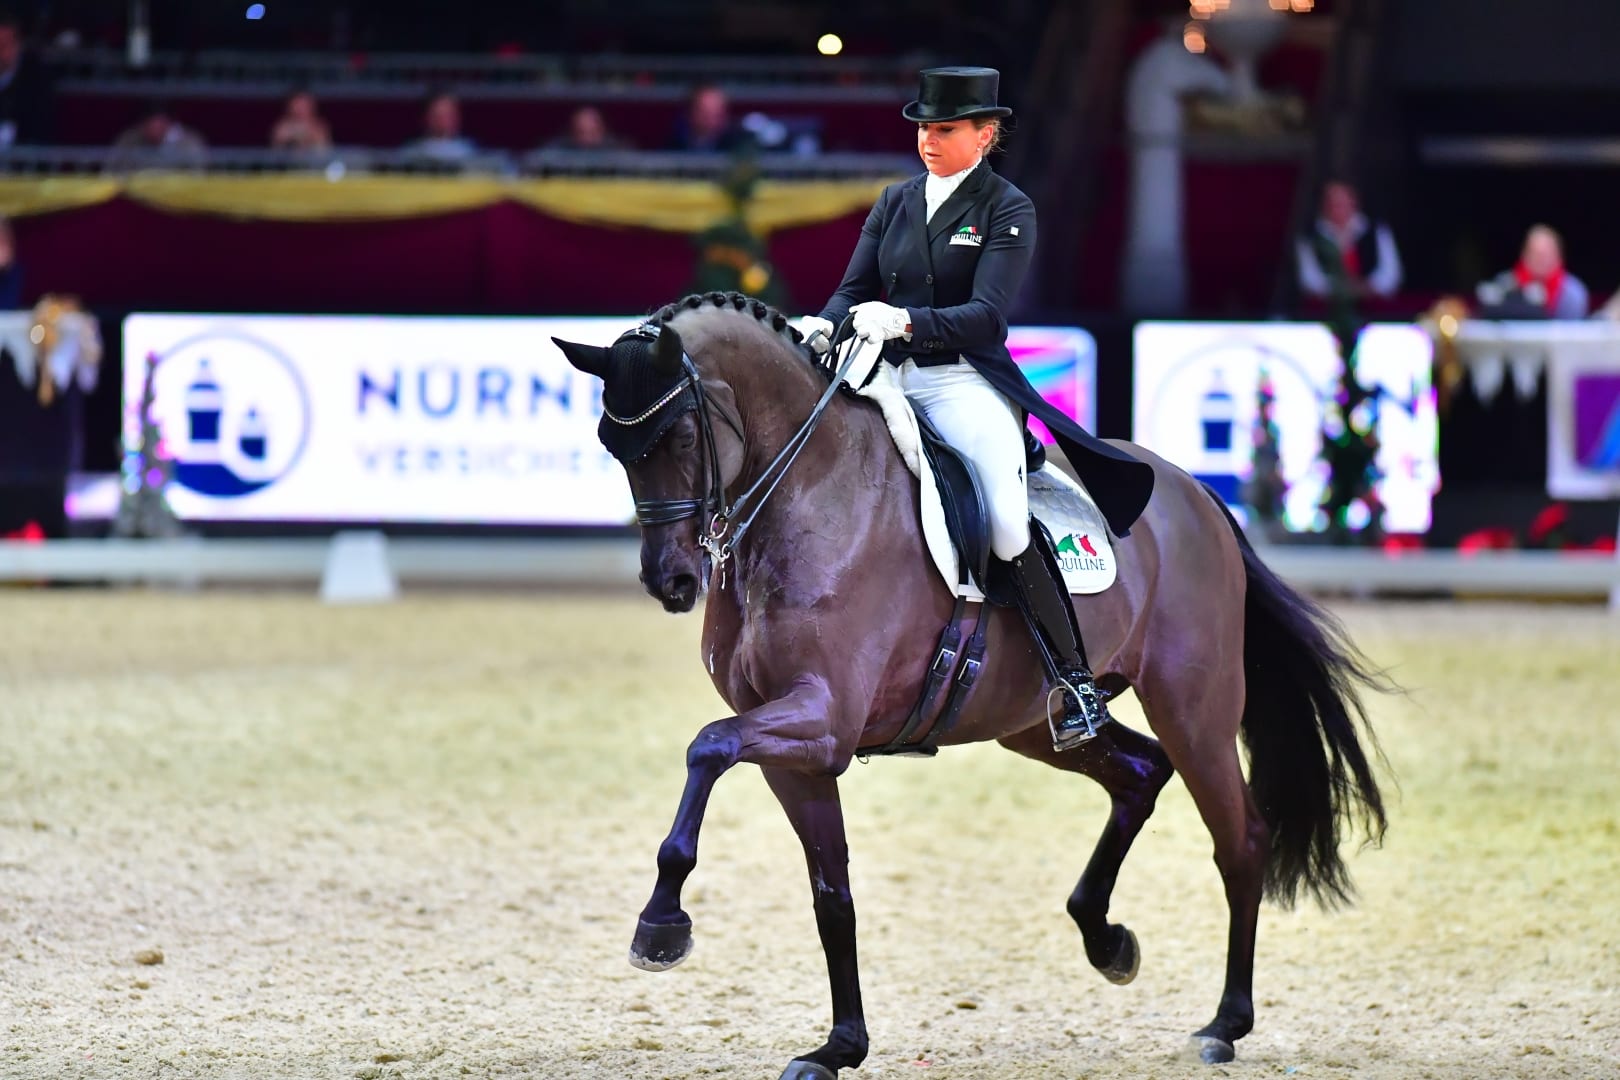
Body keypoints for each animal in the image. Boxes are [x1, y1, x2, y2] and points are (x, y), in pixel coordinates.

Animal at [557, 291, 1393, 1075]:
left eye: (680, 436)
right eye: (611, 445)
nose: (670, 581)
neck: (809, 496)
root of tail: (1196, 493)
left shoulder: (823, 720)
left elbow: (706, 747)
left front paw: (660, 926)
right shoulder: (796, 751)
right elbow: (832, 896)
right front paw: (839, 1047)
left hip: (1196, 711)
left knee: (1239, 839)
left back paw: (1224, 1024)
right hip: (1034, 723)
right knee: (1139, 774)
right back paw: (1106, 940)